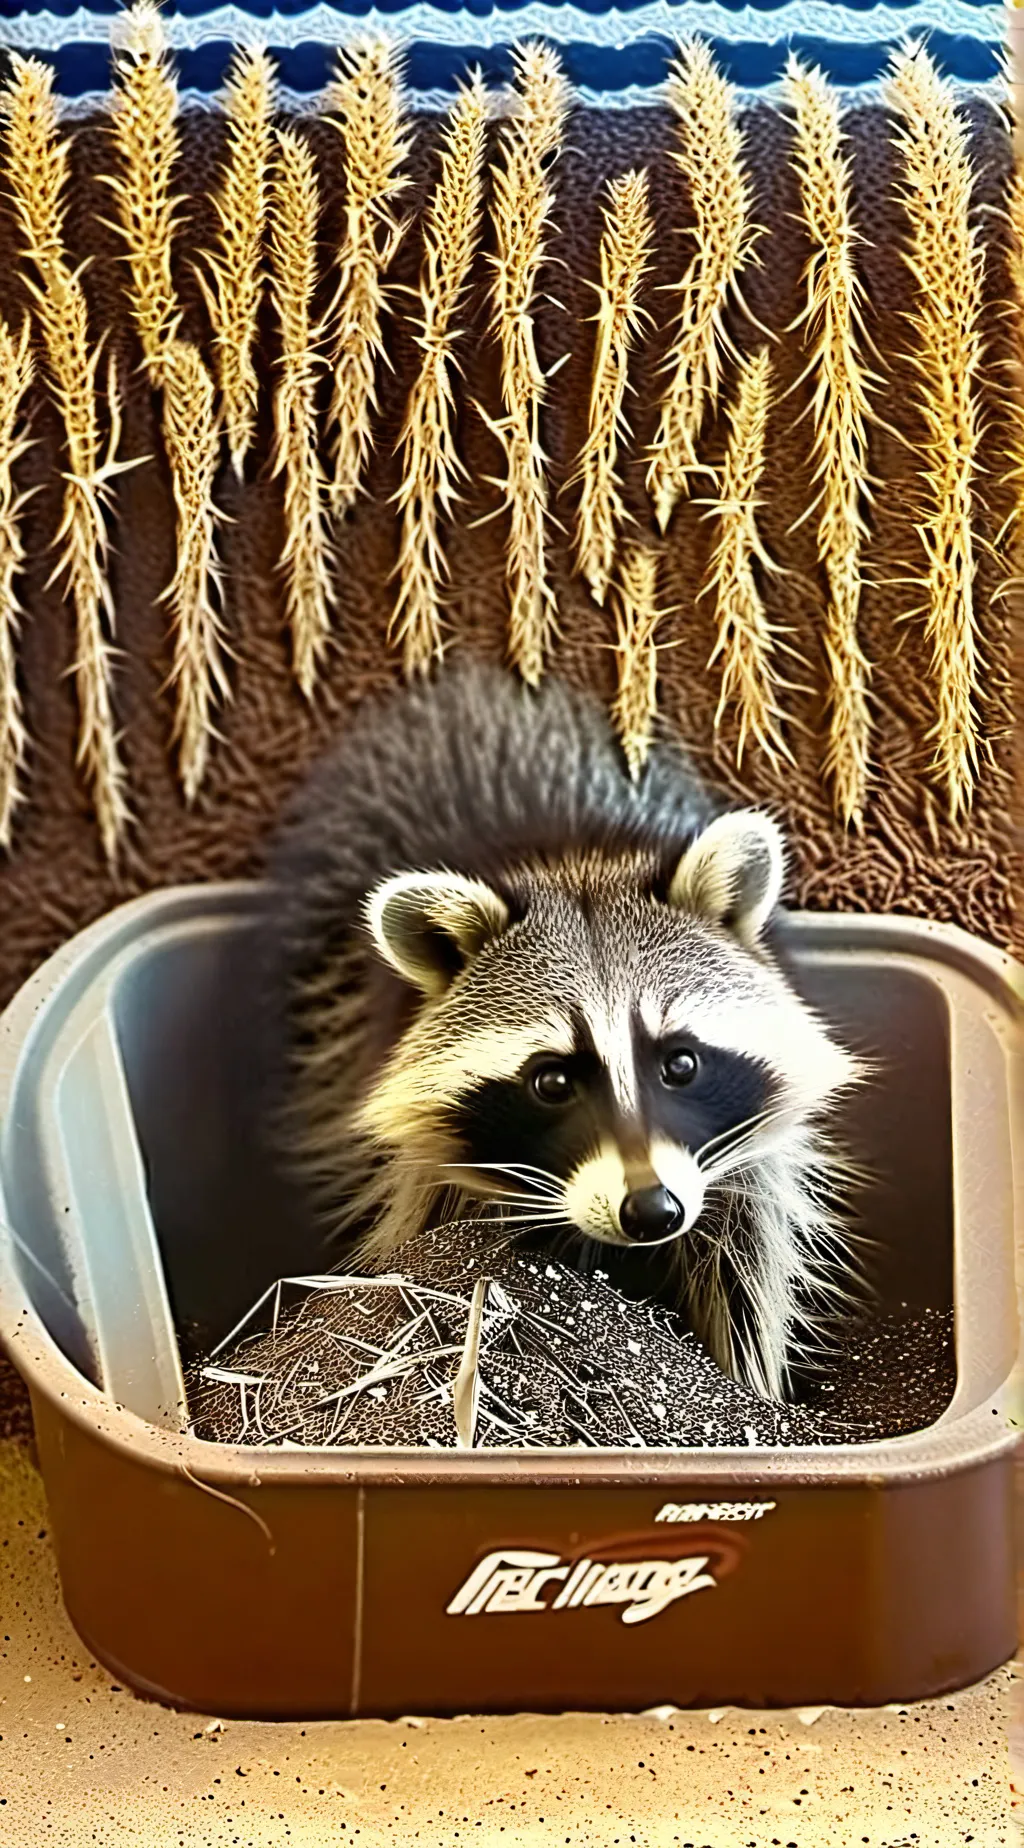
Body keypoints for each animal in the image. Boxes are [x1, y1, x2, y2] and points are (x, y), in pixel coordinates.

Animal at [262, 660, 865, 1402]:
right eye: (551, 1080)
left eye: (681, 1064)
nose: (652, 1211)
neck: (572, 859)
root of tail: (476, 683)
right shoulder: (425, 1156)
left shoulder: (745, 1165)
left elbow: (744, 1281)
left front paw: (749, 1386)